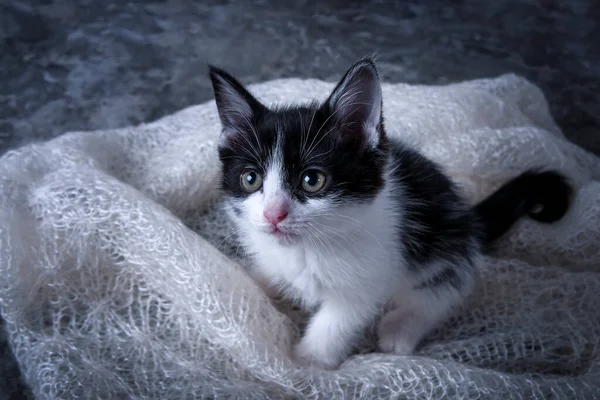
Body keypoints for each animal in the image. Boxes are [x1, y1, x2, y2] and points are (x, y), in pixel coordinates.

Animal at [209, 58, 576, 368]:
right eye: (251, 179)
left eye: (312, 180)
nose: (274, 215)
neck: (307, 248)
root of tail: (467, 217)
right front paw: (248, 278)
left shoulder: (369, 275)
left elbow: (337, 321)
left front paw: (306, 365)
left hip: (443, 239)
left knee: (448, 286)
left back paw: (402, 326)